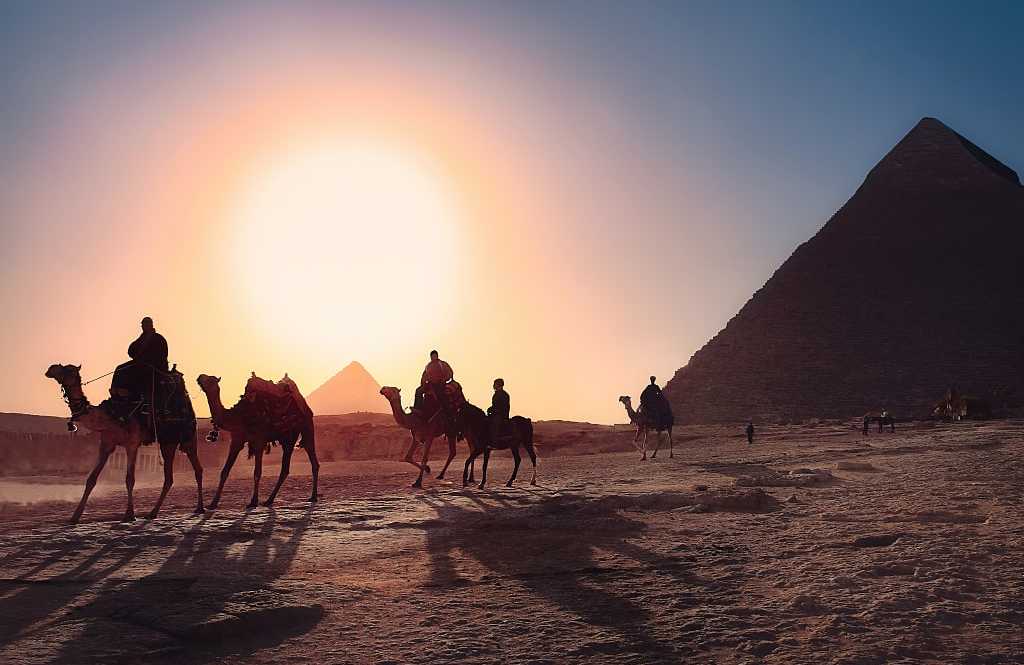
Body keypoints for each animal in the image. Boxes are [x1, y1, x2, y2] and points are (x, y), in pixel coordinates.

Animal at [45, 363, 203, 523]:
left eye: (68, 369)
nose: (50, 369)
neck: (112, 416)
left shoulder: (132, 444)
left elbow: (129, 479)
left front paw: (129, 514)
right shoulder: (106, 444)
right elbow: (91, 479)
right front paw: (75, 516)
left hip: (188, 438)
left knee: (197, 469)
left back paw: (199, 508)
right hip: (167, 443)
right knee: (169, 478)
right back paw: (152, 513)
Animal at [196, 374, 319, 509]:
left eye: (210, 379)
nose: (200, 377)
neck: (237, 416)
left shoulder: (259, 440)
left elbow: (257, 472)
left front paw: (253, 501)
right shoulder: (236, 440)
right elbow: (224, 471)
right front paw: (213, 503)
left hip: (304, 429)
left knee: (310, 460)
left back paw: (313, 496)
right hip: (288, 437)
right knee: (286, 469)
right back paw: (269, 500)